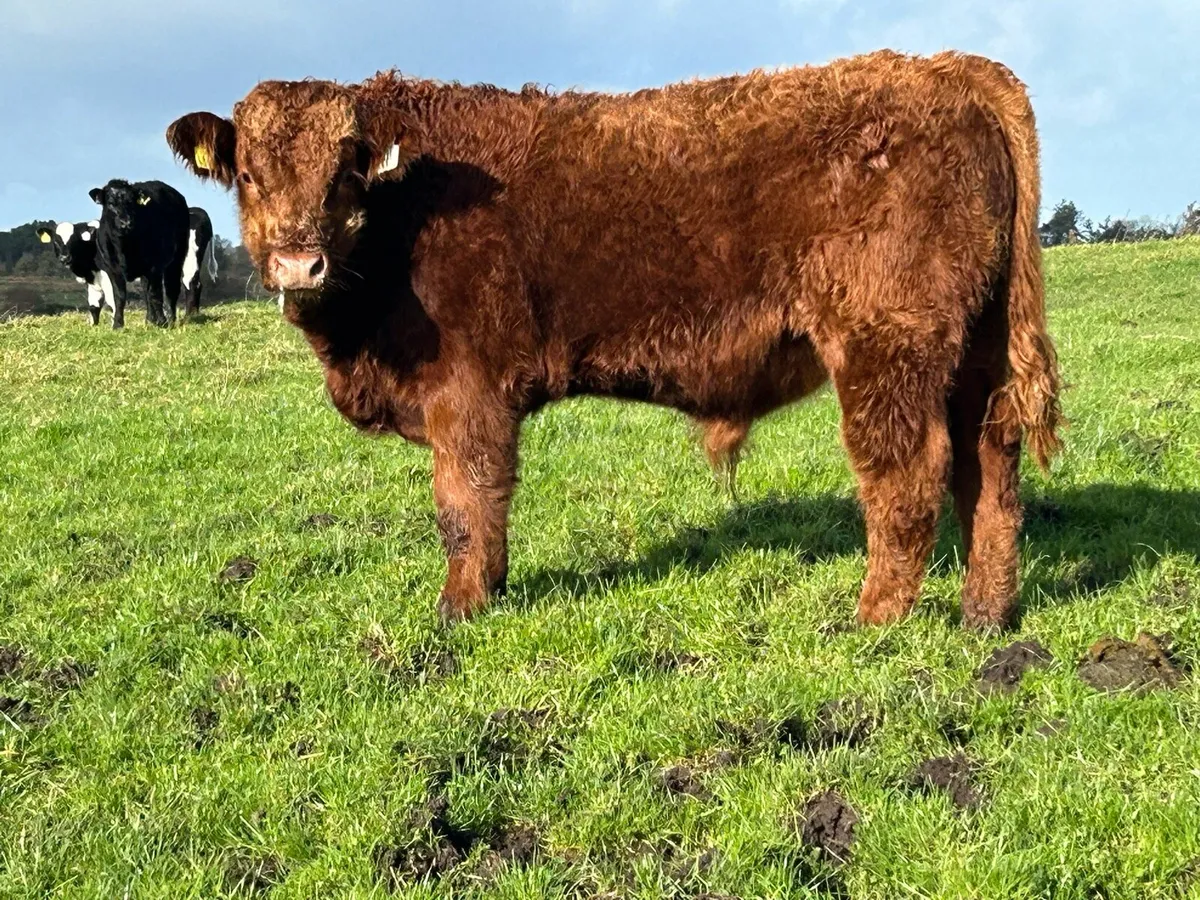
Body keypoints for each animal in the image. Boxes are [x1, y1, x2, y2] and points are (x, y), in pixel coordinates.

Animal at [88, 179, 190, 328]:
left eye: (132, 202)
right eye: (111, 203)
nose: (126, 222)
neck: (124, 248)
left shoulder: (155, 266)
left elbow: (155, 294)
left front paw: (162, 322)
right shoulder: (113, 269)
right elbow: (119, 296)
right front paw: (117, 324)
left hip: (177, 257)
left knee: (171, 288)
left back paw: (170, 319)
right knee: (145, 291)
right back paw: (149, 320)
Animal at [166, 49, 1063, 629]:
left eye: (346, 170)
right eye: (249, 173)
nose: (299, 261)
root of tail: (945, 69)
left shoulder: (468, 393)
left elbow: (465, 502)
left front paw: (462, 609)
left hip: (886, 346)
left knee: (907, 475)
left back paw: (873, 618)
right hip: (975, 351)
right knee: (991, 467)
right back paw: (985, 615)